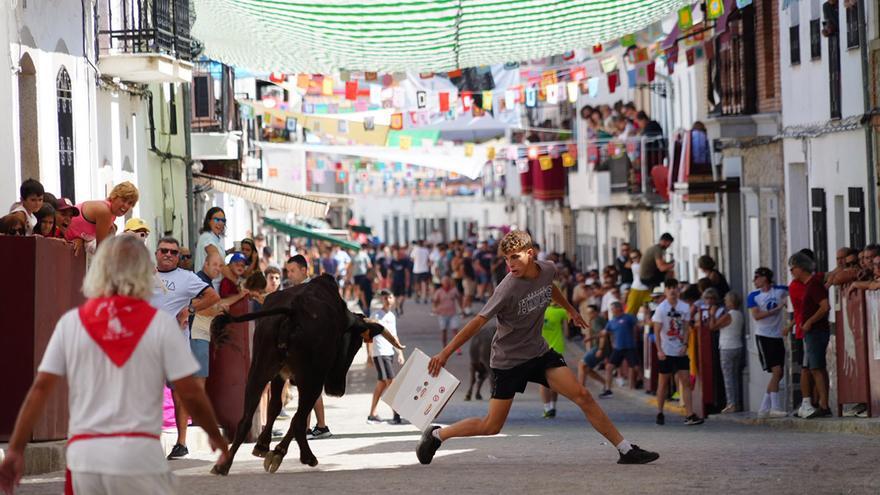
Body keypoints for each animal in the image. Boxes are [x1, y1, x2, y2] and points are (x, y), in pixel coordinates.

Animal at [206, 276, 398, 476]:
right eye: (356, 345)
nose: (337, 390)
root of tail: (293, 311)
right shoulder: (312, 379)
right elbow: (298, 415)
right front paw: (276, 451)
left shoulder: (279, 376)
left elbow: (275, 406)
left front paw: (263, 445)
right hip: (311, 381)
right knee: (298, 419)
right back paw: (303, 456)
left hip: (258, 370)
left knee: (246, 418)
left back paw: (223, 465)